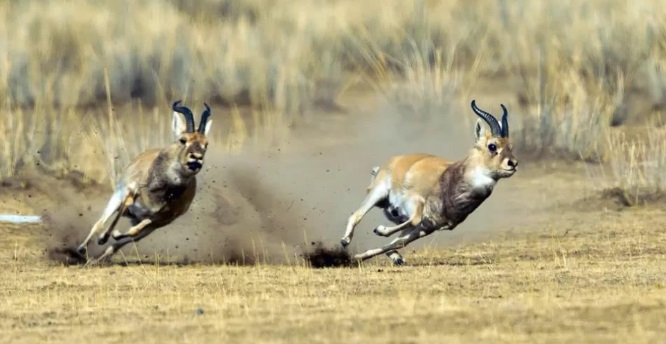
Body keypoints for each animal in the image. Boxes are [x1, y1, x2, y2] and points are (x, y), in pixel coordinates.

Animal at [77, 101, 213, 262]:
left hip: (150, 225)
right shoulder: (122, 193)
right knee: (103, 223)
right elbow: (104, 220)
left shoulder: (159, 219)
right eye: (183, 140)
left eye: (206, 144)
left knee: (123, 241)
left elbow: (133, 232)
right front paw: (94, 241)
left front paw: (108, 236)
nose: (197, 158)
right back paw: (85, 249)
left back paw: (100, 256)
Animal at [340, 101, 516, 264]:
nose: (513, 163)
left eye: (510, 146)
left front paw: (359, 256)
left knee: (394, 242)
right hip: (378, 193)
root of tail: (394, 160)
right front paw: (379, 230)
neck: (449, 182)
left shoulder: (428, 227)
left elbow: (399, 242)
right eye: (492, 146)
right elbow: (413, 220)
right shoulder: (414, 204)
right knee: (356, 215)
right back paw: (345, 240)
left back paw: (396, 258)